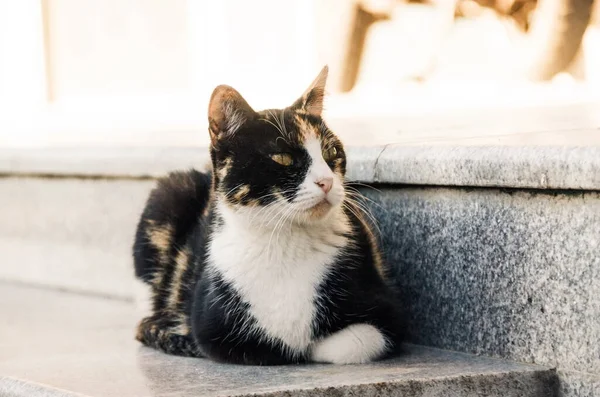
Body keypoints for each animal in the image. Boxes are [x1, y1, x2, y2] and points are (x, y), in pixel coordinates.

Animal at [131, 65, 404, 366]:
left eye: (331, 151)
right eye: (283, 158)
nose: (327, 182)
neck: (285, 239)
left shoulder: (387, 310)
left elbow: (348, 344)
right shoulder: (212, 327)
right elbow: (264, 347)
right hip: (169, 193)